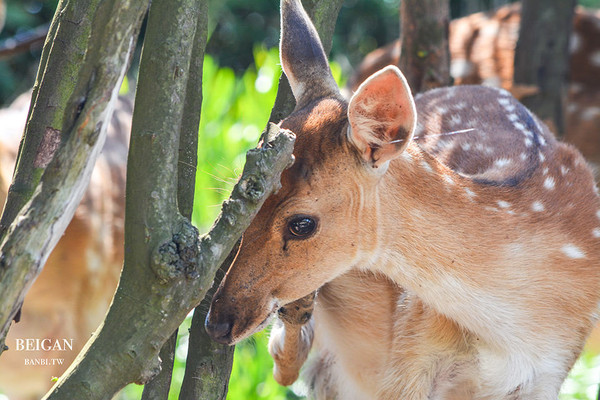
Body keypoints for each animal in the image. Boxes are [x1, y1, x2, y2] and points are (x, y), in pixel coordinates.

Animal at [205, 0, 600, 398]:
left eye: (301, 223)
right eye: (247, 196)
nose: (217, 322)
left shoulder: (551, 371)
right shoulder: (412, 346)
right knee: (288, 367)